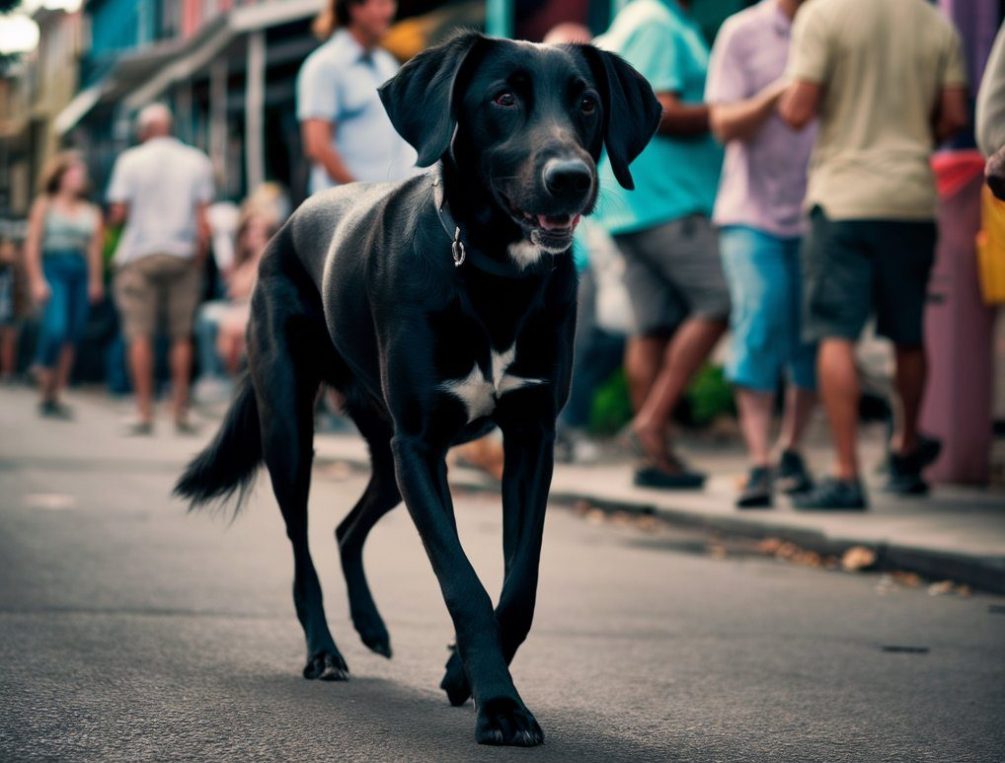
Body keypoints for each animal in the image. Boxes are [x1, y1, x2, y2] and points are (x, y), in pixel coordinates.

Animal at [175, 32, 655, 747]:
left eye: (589, 103)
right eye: (503, 98)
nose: (572, 178)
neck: (493, 276)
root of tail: (287, 223)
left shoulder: (528, 440)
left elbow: (520, 583)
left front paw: (466, 674)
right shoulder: (423, 448)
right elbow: (462, 582)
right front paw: (500, 707)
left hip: (388, 453)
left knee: (347, 528)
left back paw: (371, 627)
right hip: (293, 431)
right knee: (303, 548)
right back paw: (325, 652)